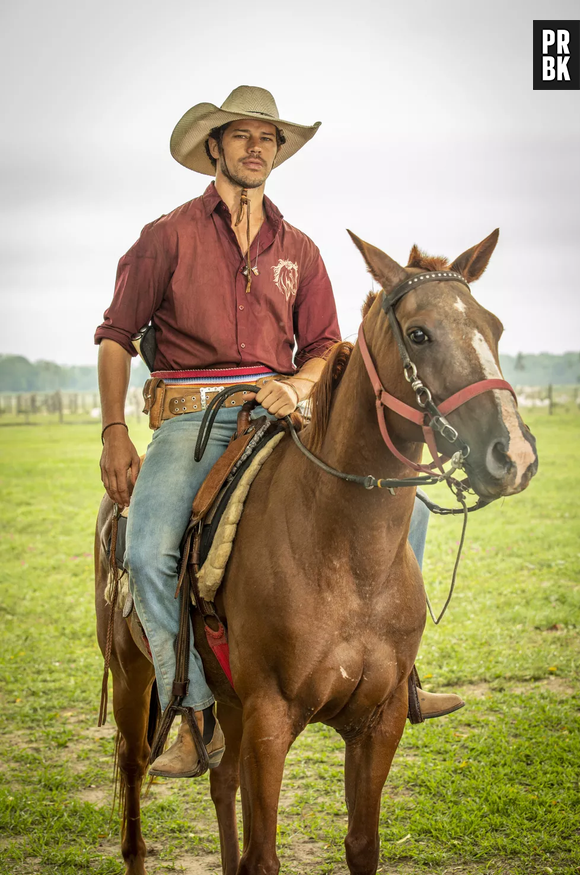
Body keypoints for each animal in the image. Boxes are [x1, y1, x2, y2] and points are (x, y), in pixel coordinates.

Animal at [94, 229, 540, 872]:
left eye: (495, 327)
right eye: (419, 333)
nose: (514, 455)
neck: (346, 560)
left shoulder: (378, 724)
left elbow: (360, 845)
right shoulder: (271, 719)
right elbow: (263, 856)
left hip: (228, 705)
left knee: (221, 782)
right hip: (133, 677)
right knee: (134, 773)